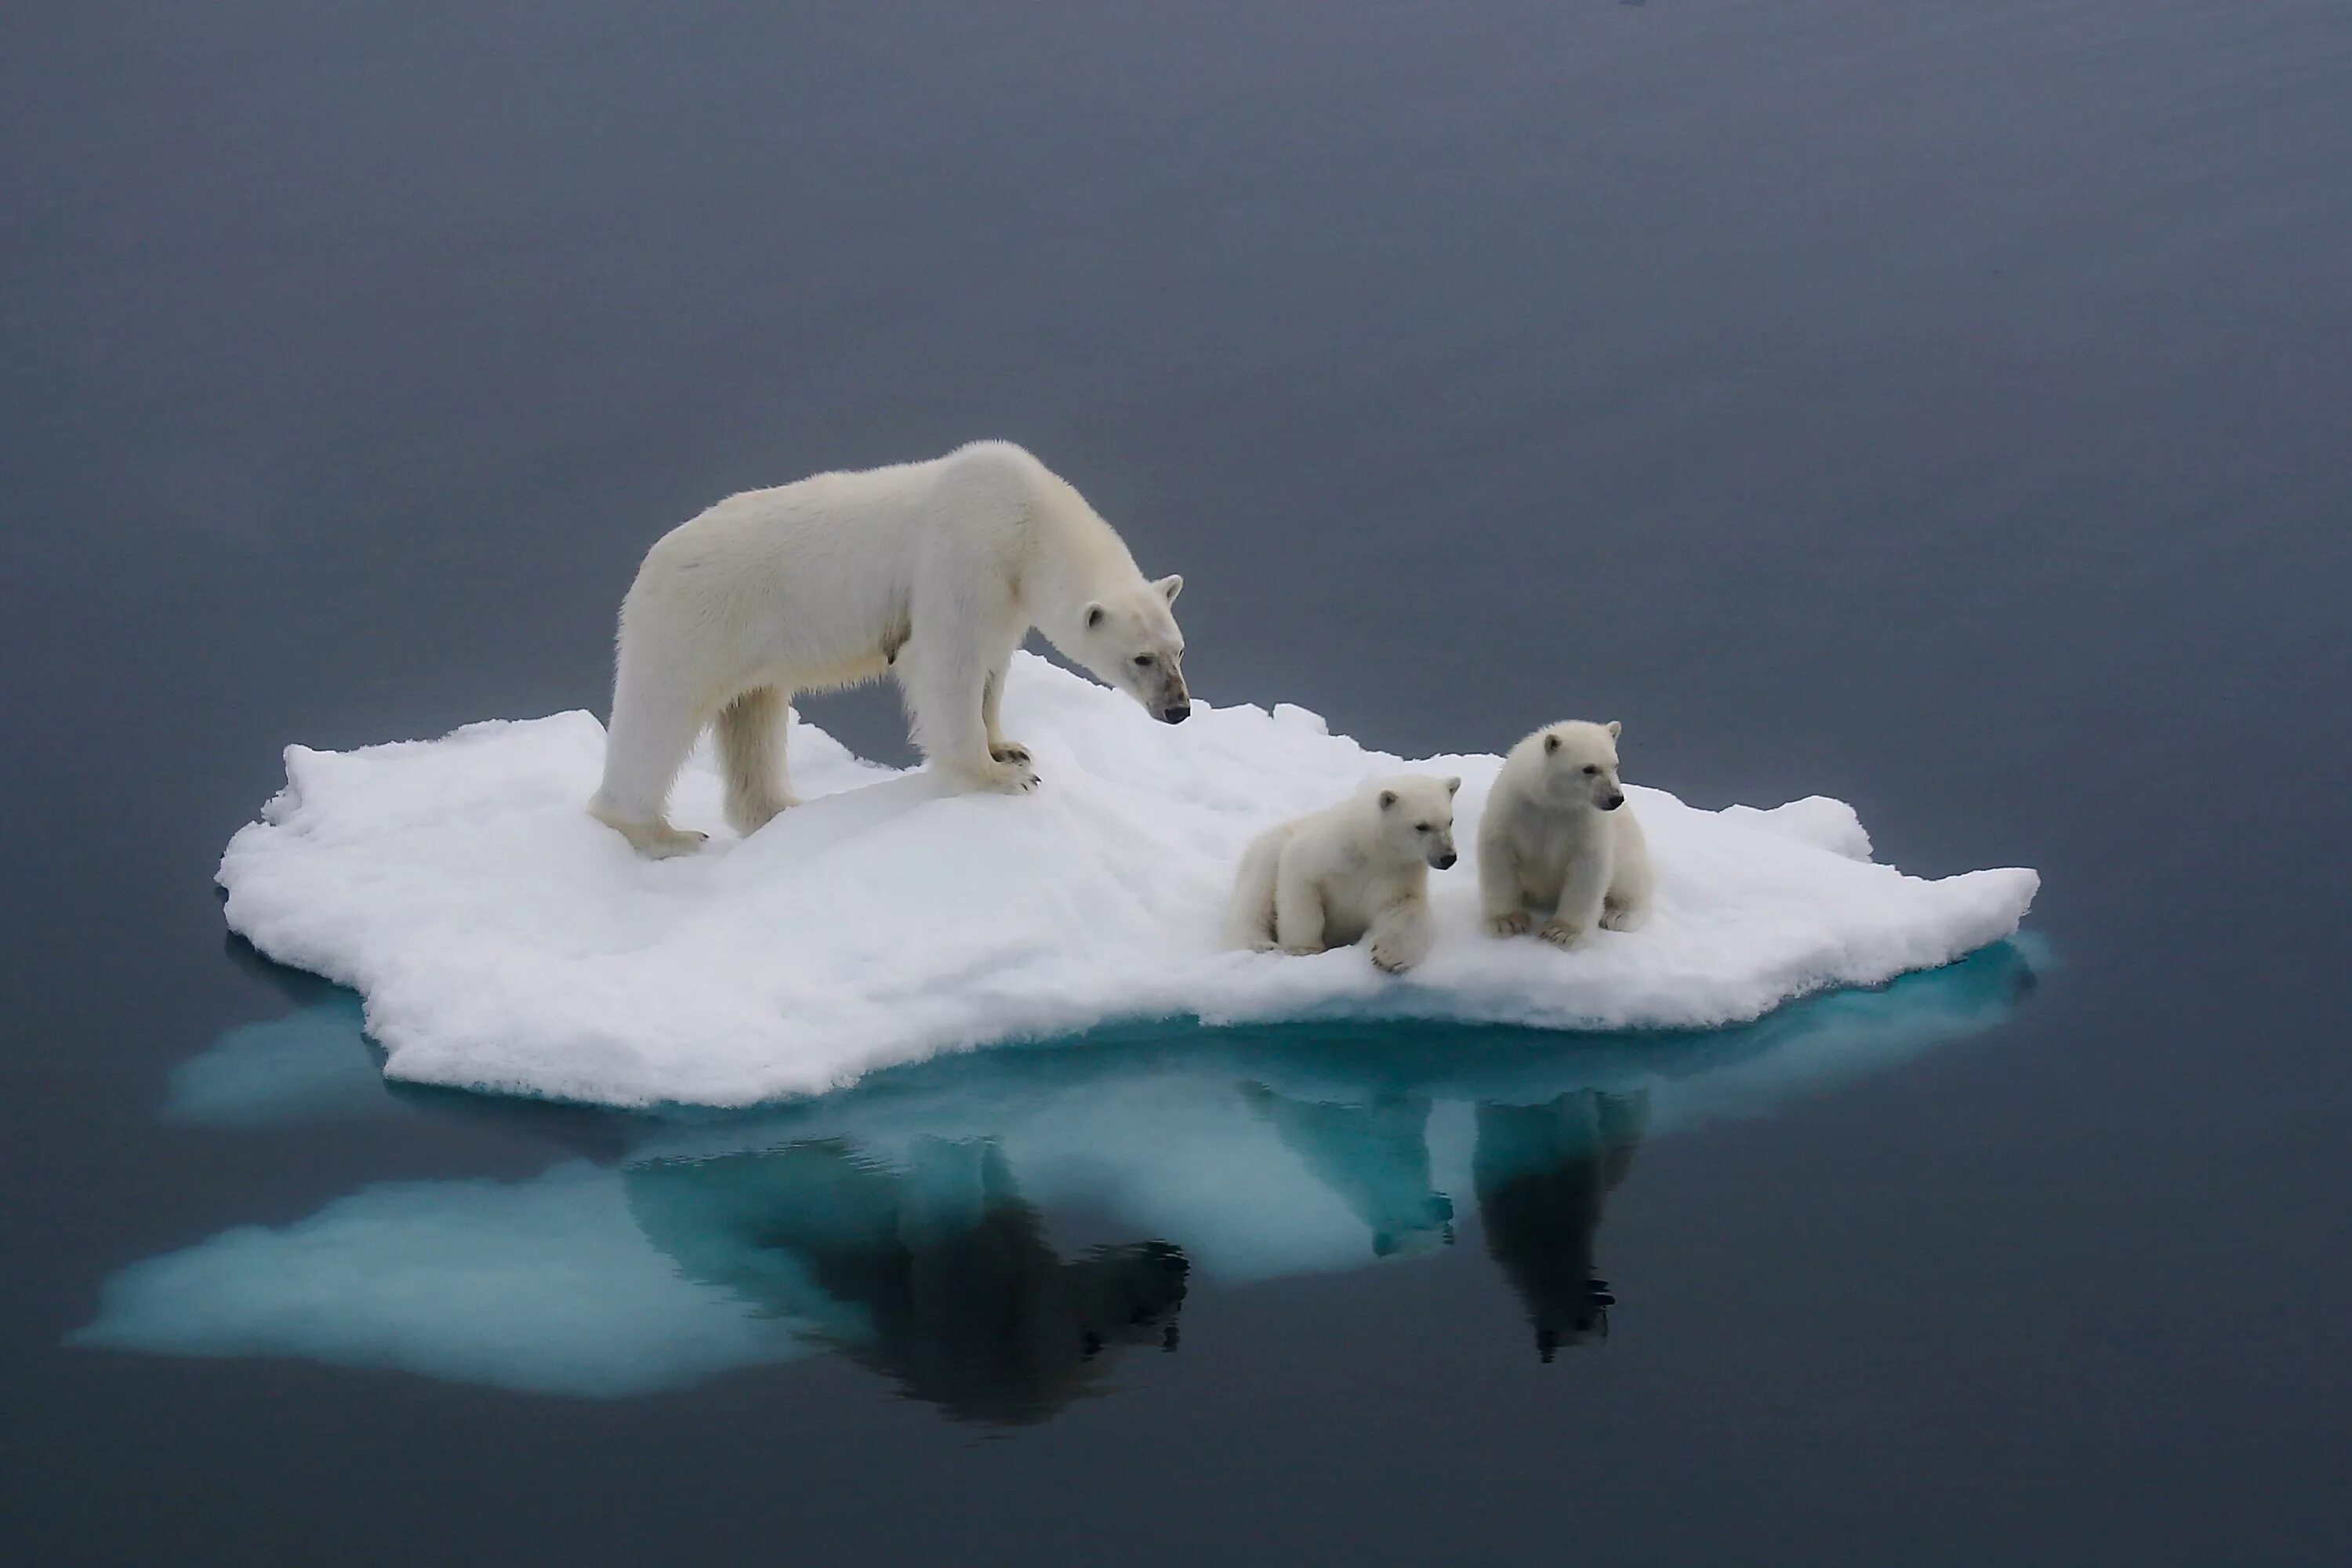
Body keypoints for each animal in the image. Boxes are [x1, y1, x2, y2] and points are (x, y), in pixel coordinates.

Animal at [588, 441, 1195, 860]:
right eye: (1141, 659)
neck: (1027, 516)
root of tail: (651, 564)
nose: (1179, 710)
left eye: (1179, 650)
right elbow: (947, 661)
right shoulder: (961, 556)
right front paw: (1001, 777)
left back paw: (784, 810)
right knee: (660, 714)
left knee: (752, 716)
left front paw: (1010, 748)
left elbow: (992, 666)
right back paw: (664, 834)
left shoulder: (1006, 593)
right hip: (695, 621)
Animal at [1232, 771, 1449, 968]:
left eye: (1450, 822)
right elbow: (1300, 884)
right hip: (1265, 854)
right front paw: (1304, 948)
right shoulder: (1329, 852)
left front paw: (1388, 957)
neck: (1370, 848)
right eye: (1421, 826)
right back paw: (1263, 943)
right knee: (1254, 900)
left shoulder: (1398, 871)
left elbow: (1403, 908)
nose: (1448, 857)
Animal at [1486, 719, 1656, 945]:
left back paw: (1617, 914)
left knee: (1633, 882)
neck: (1553, 802)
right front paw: (1508, 922)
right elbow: (1499, 854)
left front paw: (1562, 932)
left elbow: (1587, 868)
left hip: (1630, 851)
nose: (1615, 798)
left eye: (1615, 764)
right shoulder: (1515, 808)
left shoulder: (1585, 822)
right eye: (1589, 769)